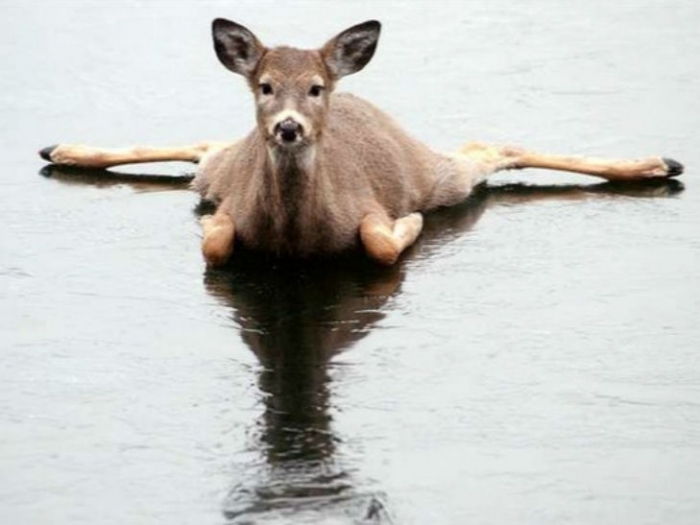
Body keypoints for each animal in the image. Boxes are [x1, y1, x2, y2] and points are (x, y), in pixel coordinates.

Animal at [38, 19, 684, 266]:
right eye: (265, 86)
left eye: (316, 87)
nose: (288, 126)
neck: (294, 238)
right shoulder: (232, 202)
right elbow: (216, 244)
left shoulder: (368, 206)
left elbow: (380, 245)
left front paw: (409, 227)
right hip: (220, 168)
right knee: (205, 144)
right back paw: (61, 149)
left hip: (434, 175)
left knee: (487, 146)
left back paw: (657, 163)